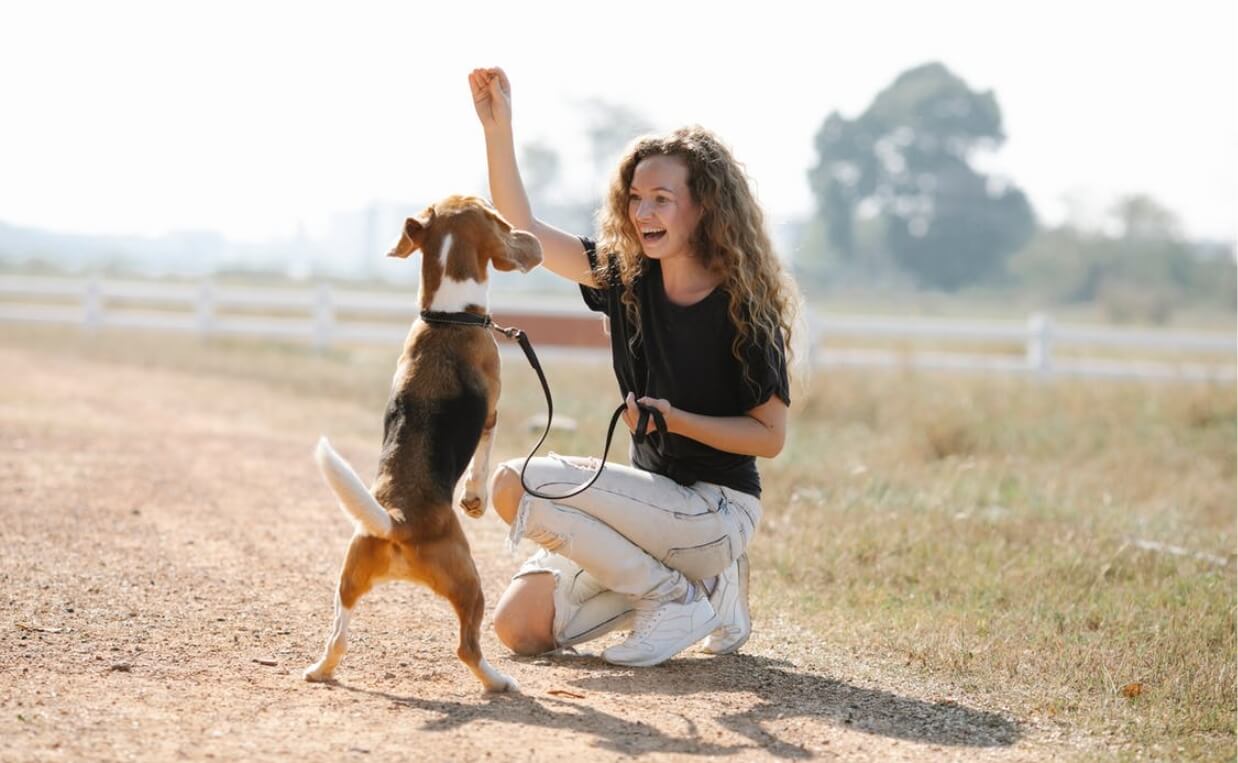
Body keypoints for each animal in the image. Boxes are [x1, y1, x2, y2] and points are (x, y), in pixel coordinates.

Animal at [302, 195, 539, 693]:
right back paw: (498, 682)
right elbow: (482, 460)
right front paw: (474, 499)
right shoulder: (492, 412)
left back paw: (320, 670)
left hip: (347, 579)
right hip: (470, 582)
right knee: (467, 648)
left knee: (338, 638)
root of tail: (397, 521)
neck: (447, 317)